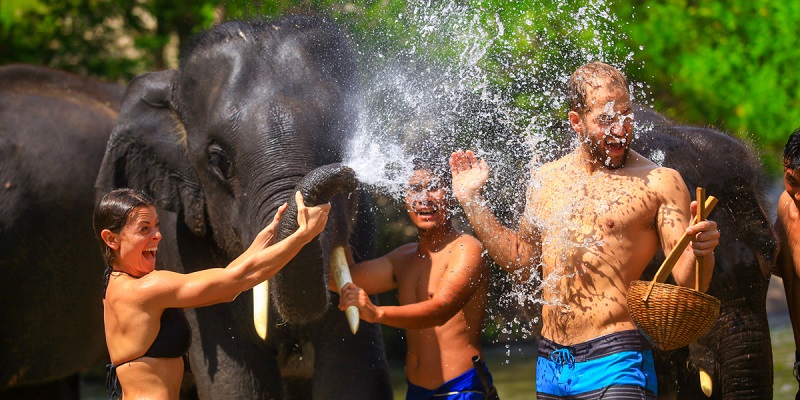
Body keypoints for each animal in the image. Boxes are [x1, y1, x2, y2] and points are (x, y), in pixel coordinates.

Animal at [94, 16, 394, 400]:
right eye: (218, 160)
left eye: (342, 136)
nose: (347, 171)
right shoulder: (184, 246)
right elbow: (235, 383)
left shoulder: (362, 231)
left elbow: (352, 374)